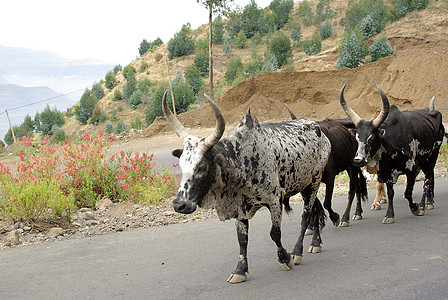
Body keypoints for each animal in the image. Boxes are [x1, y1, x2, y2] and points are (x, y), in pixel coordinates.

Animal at [163, 92, 330, 282]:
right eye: (181, 165)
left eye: (202, 167)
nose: (179, 205)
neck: (244, 161)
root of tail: (318, 128)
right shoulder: (239, 207)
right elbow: (242, 239)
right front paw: (240, 270)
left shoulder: (274, 200)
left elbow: (275, 233)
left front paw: (285, 258)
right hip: (304, 185)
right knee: (315, 211)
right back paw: (316, 242)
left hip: (314, 182)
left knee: (306, 216)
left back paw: (298, 252)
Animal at [340, 84, 444, 223]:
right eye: (356, 138)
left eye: (371, 138)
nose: (358, 160)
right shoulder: (386, 170)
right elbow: (390, 193)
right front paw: (389, 215)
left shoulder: (412, 168)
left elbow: (408, 192)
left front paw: (415, 208)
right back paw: (428, 201)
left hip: (433, 156)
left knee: (428, 179)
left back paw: (424, 205)